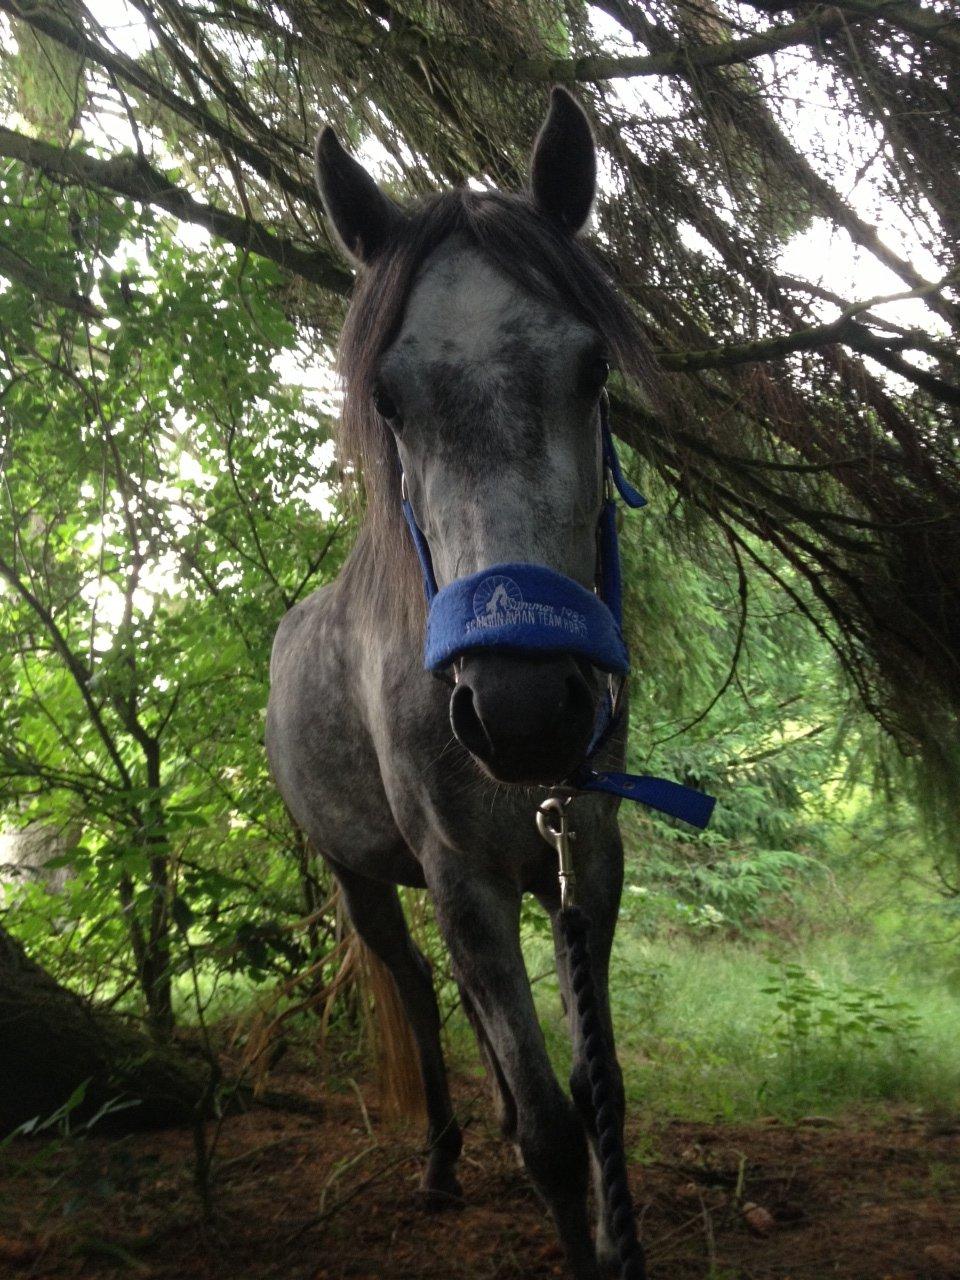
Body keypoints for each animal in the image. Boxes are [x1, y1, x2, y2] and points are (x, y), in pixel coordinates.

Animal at [266, 88, 663, 1280]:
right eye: (387, 401)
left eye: (592, 368)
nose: (523, 709)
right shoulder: (464, 881)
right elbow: (551, 1133)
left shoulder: (589, 856)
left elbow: (596, 1090)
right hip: (361, 878)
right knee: (419, 1000)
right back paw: (442, 1154)